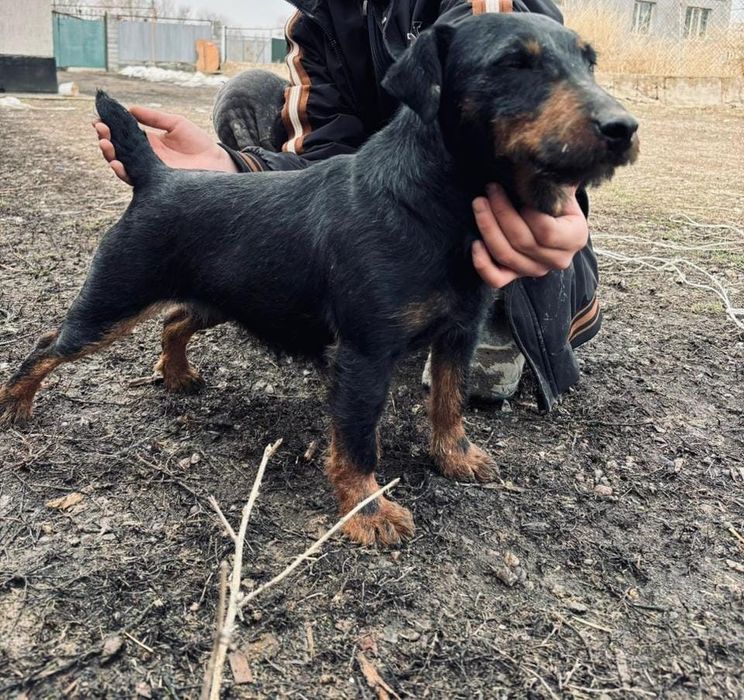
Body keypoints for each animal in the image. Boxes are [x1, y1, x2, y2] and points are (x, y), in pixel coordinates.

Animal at [0, 13, 638, 545]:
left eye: (589, 62)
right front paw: (368, 512)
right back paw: (16, 405)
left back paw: (177, 375)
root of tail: (157, 177)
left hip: (221, 297)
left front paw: (454, 457)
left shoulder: (459, 334)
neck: (431, 201)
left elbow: (449, 401)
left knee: (175, 320)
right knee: (46, 346)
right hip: (111, 301)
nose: (624, 127)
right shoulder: (364, 354)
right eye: (512, 63)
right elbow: (357, 439)